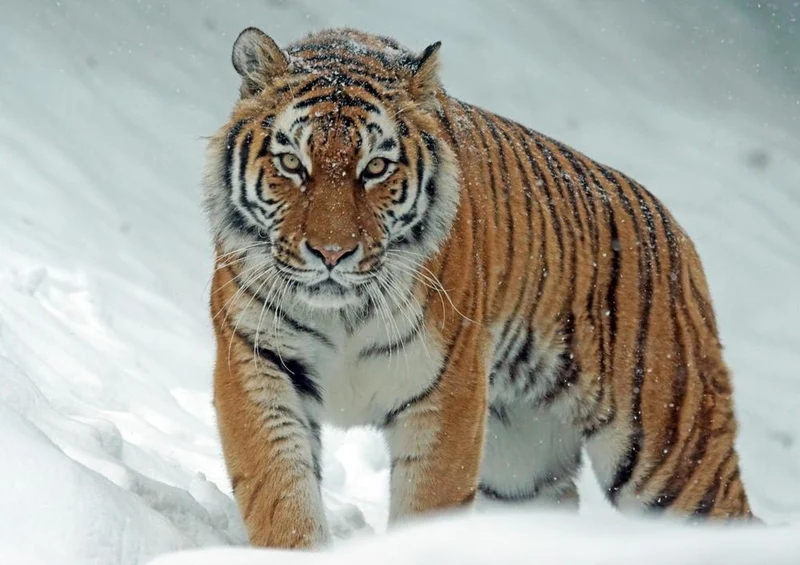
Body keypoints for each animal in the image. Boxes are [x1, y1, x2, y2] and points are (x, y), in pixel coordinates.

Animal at [203, 26, 756, 549]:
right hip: (521, 468)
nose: (332, 254)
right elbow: (280, 494)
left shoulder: (448, 391)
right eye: (292, 164)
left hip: (672, 454)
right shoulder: (256, 362)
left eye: (375, 167)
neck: (343, 313)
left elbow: (428, 506)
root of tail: (677, 233)